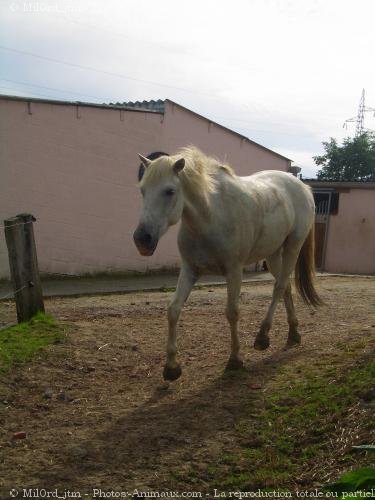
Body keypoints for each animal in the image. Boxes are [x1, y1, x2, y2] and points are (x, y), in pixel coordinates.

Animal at [134, 146, 322, 380]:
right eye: (143, 190)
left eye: (169, 191)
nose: (142, 239)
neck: (210, 217)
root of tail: (303, 187)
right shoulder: (189, 270)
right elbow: (173, 310)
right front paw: (171, 367)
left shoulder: (234, 271)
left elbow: (232, 312)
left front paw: (234, 360)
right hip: (272, 254)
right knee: (285, 287)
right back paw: (293, 334)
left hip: (292, 248)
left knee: (279, 288)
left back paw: (263, 337)